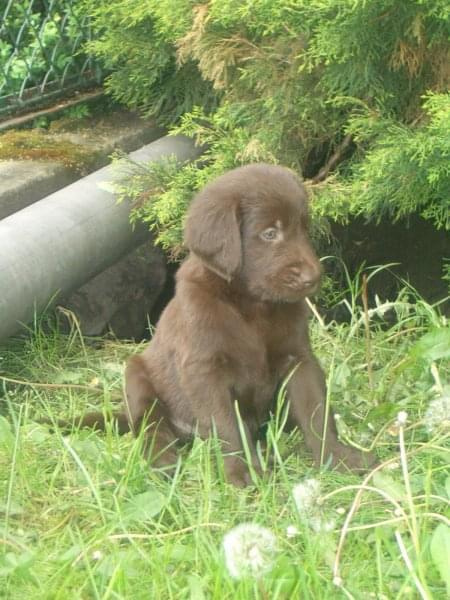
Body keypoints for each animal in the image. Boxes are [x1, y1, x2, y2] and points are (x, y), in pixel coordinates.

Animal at [121, 164, 370, 488]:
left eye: (304, 228)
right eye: (270, 233)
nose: (313, 277)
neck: (252, 305)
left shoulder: (298, 358)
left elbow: (316, 411)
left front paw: (337, 456)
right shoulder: (204, 371)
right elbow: (226, 424)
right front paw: (244, 471)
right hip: (137, 377)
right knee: (150, 425)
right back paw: (163, 459)